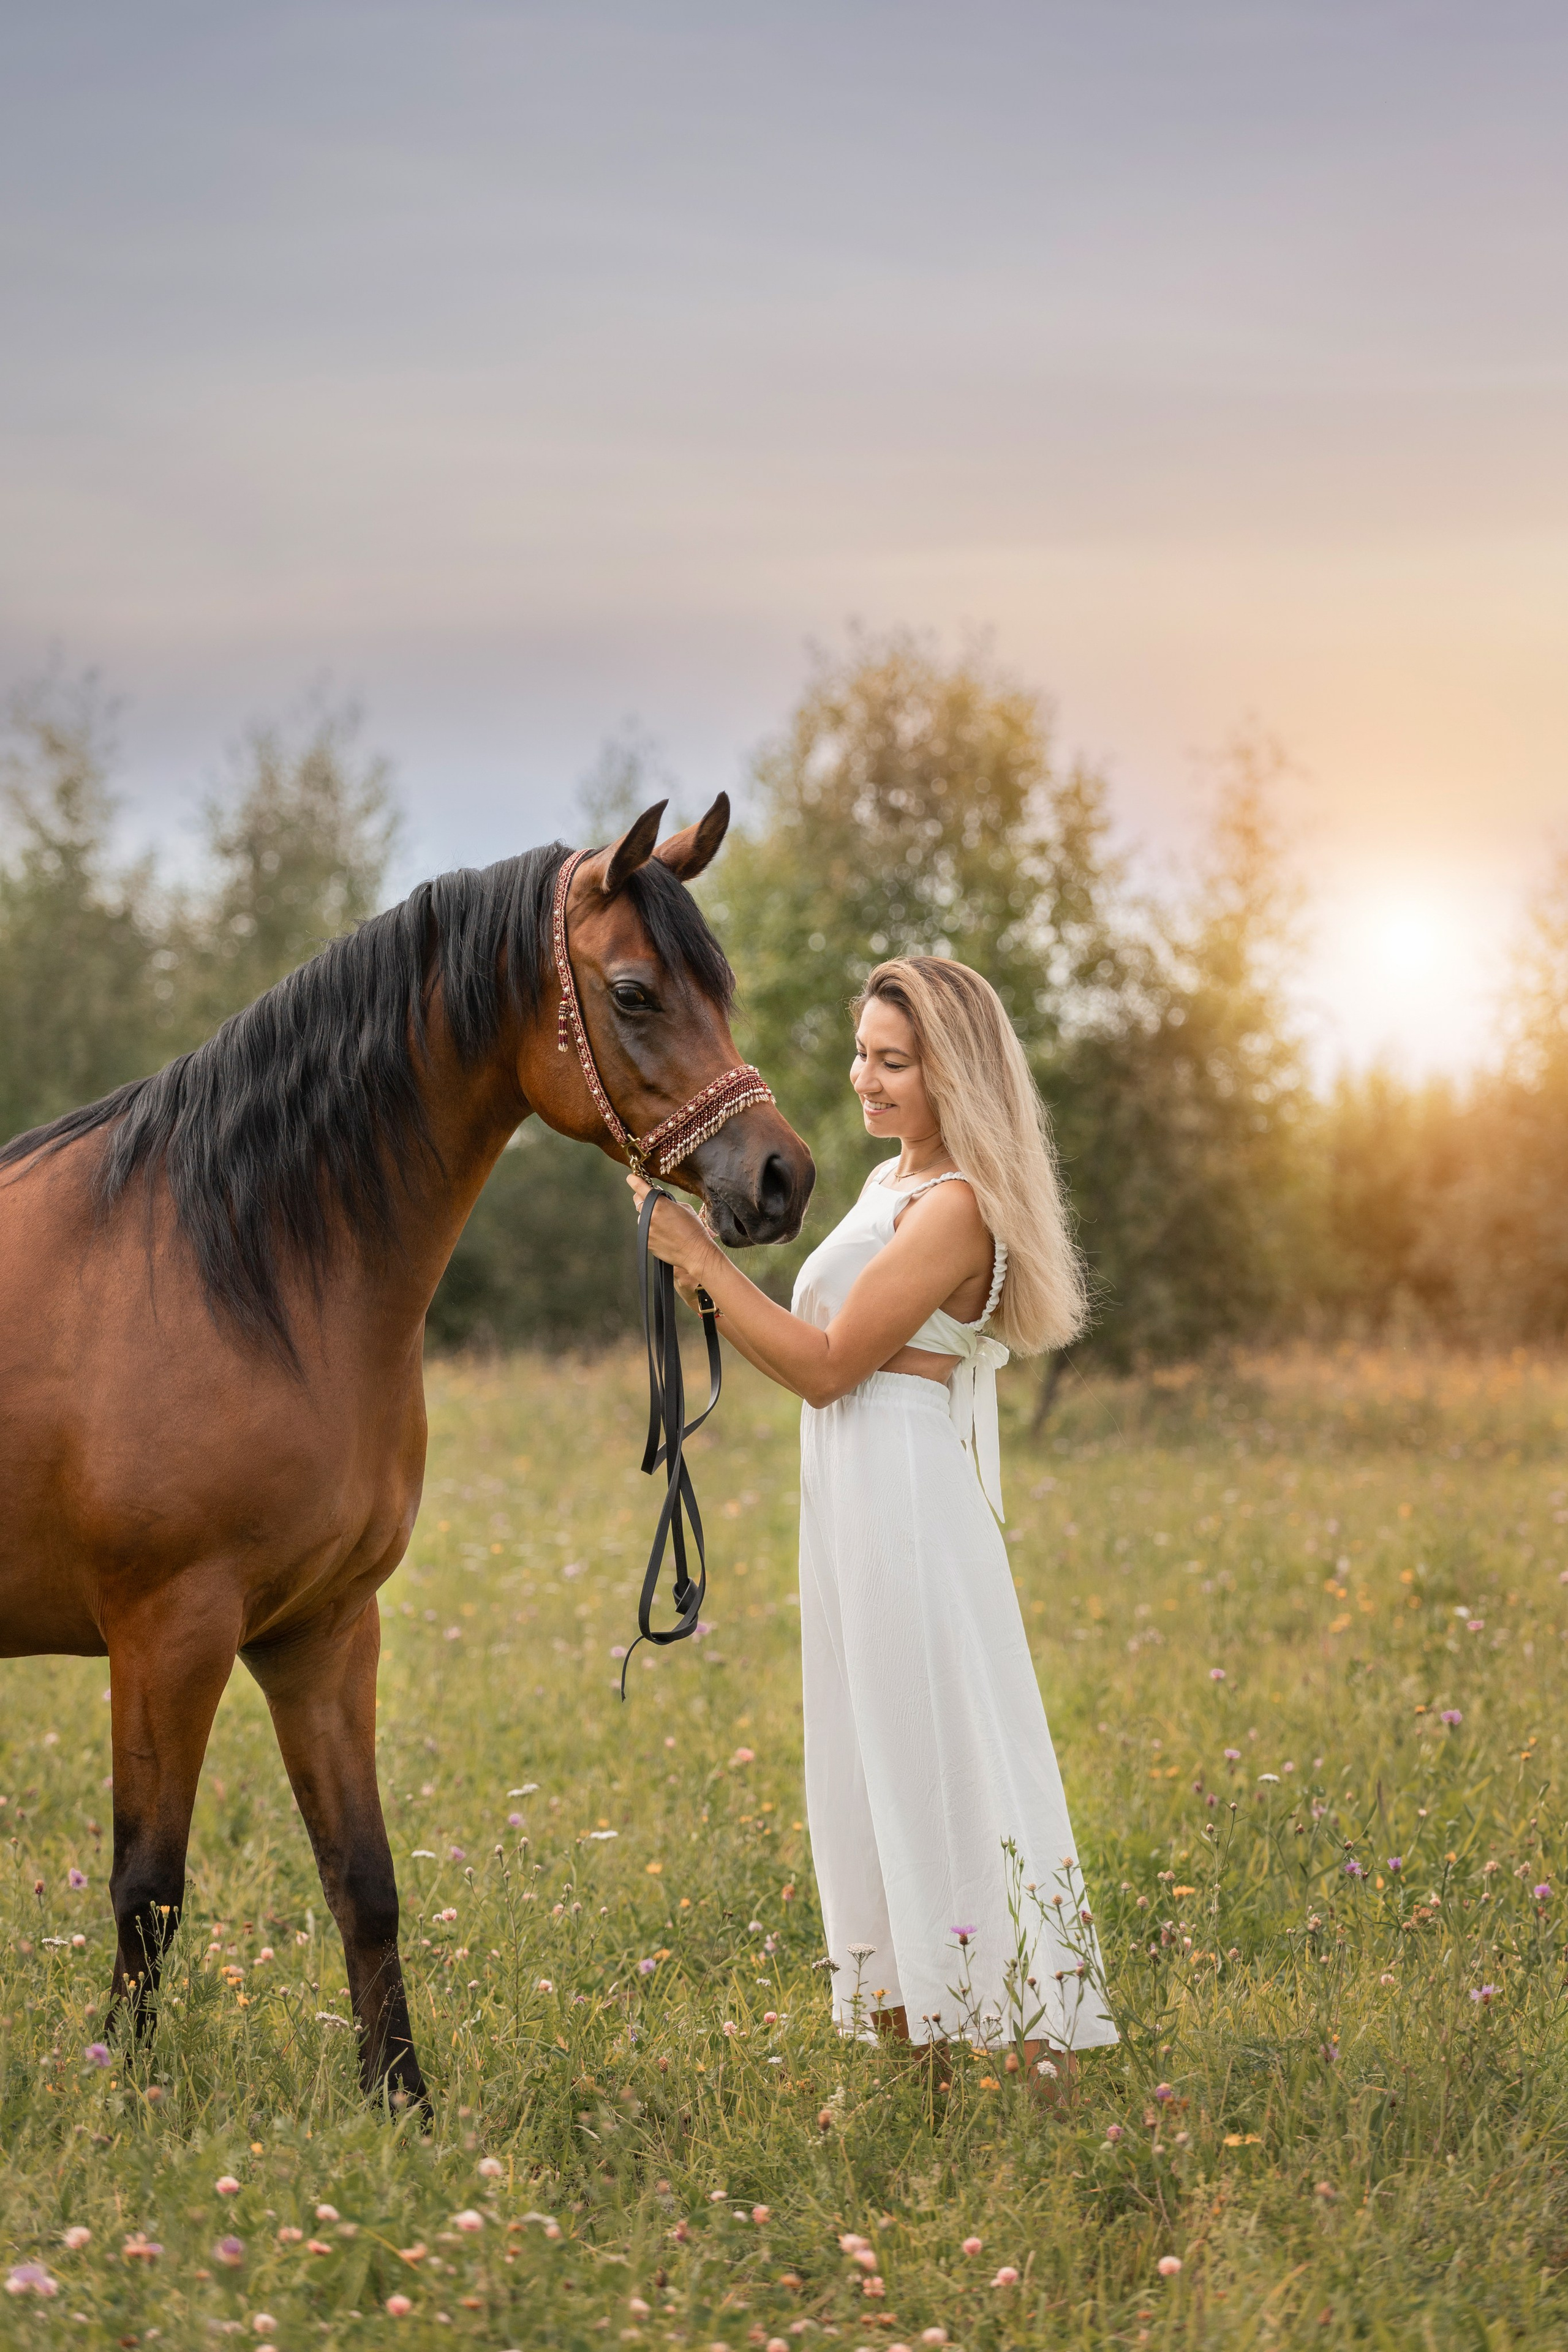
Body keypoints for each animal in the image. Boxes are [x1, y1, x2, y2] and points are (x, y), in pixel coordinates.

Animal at [0, 795, 813, 2109]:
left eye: (724, 989)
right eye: (635, 992)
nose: (783, 1176)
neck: (233, 1269)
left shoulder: (325, 1631)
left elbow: (364, 1880)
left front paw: (403, 2106)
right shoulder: (168, 1634)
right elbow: (147, 1890)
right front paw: (117, 2097)